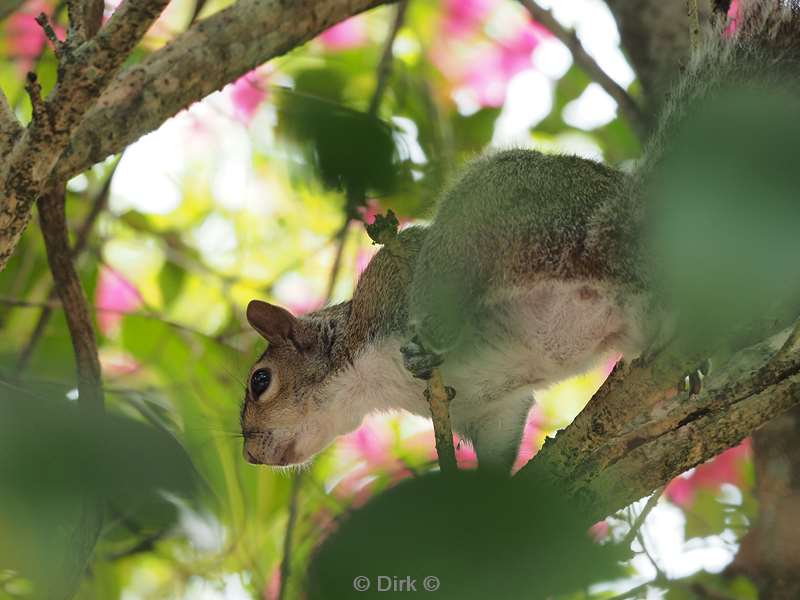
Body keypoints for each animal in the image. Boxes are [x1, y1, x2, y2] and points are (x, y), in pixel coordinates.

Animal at [241, 2, 800, 476]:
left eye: (260, 381)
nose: (248, 452)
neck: (365, 380)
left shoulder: (389, 280)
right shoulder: (491, 409)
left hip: (506, 222)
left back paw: (432, 343)